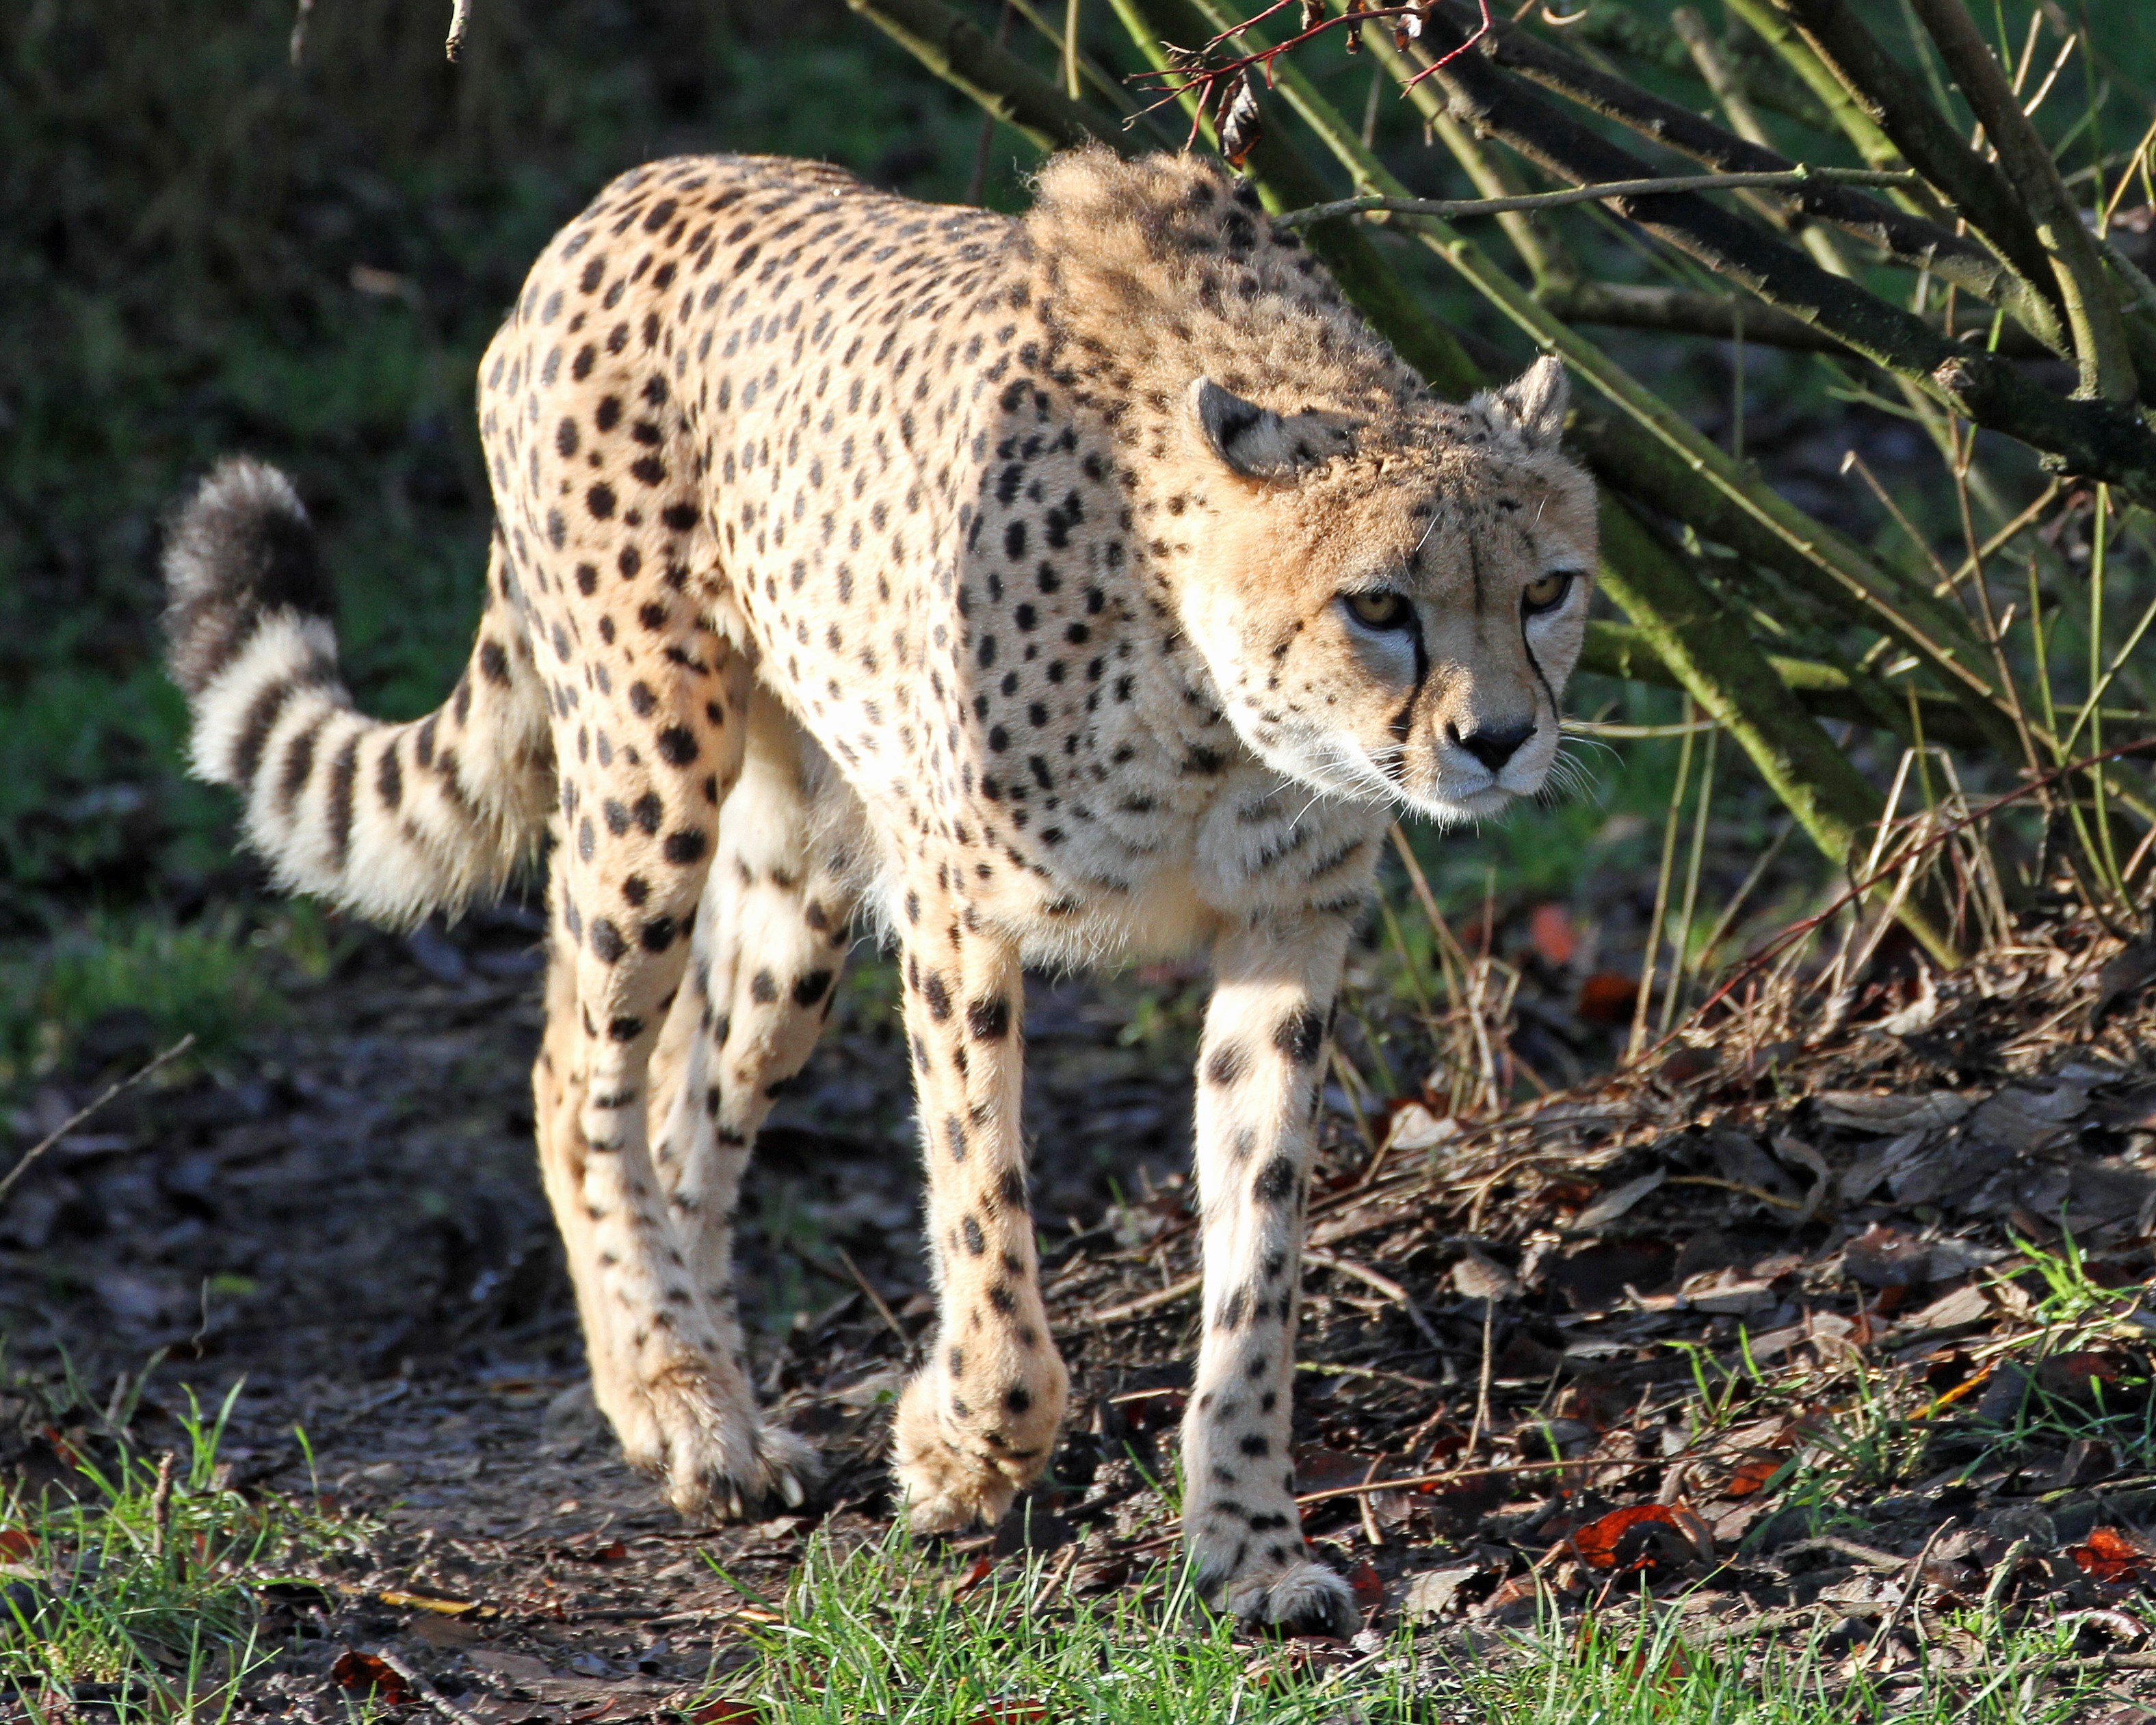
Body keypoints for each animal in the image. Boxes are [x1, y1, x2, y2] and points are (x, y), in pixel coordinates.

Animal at [161, 144, 1596, 1635]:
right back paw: (679, 1405)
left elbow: (1257, 1256)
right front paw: (958, 1451)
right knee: (577, 1078)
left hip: (796, 876)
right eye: (1379, 605)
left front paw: (1249, 1543)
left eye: (1548, 589)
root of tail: (633, 189)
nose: (1497, 739)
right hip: (646, 770)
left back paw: (714, 1403)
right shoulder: (956, 909)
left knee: (686, 1101)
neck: (1213, 694)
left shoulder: (1284, 932)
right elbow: (984, 1219)